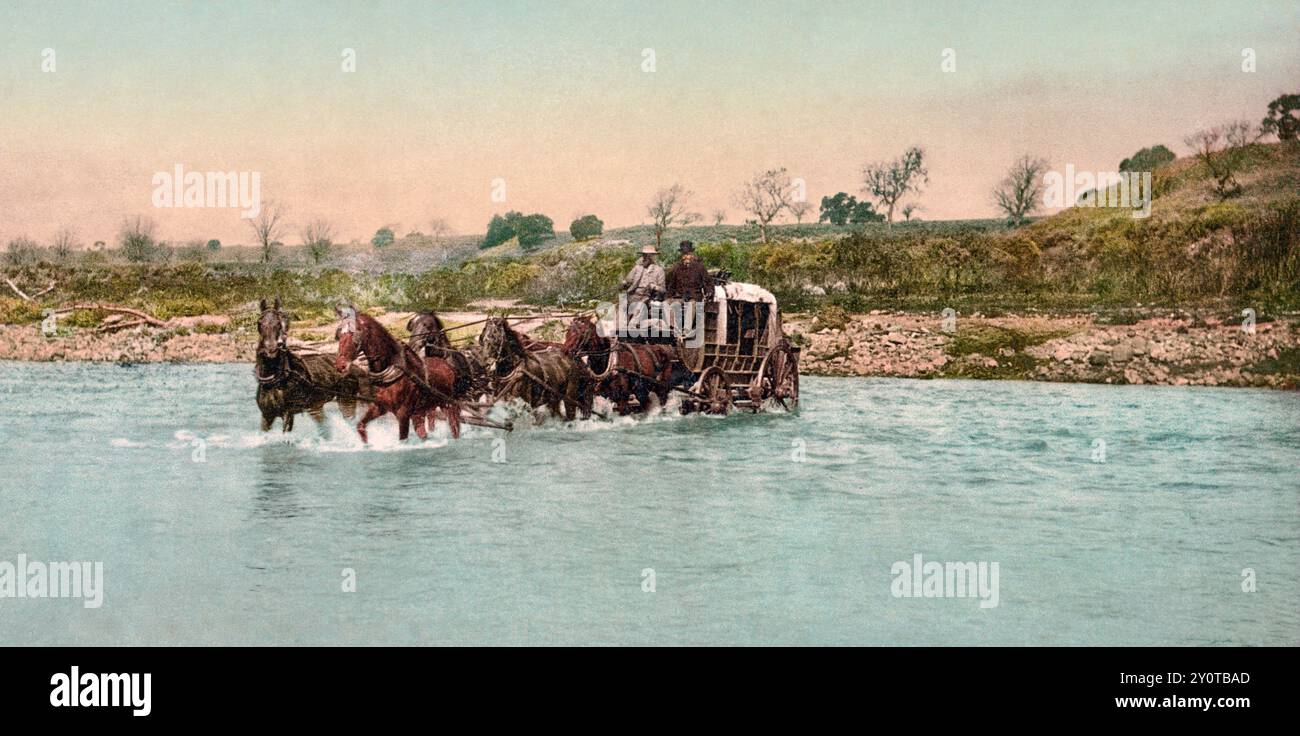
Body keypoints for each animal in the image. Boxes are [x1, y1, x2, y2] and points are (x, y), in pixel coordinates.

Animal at [253, 297, 361, 429]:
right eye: (259, 323)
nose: (271, 349)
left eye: (278, 323)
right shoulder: (266, 416)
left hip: (347, 401)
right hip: (317, 405)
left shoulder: (287, 415)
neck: (276, 379)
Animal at [335, 306, 462, 444]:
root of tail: (445, 364)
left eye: (354, 333)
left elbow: (402, 438)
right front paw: (365, 443)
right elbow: (360, 426)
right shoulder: (379, 407)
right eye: (339, 334)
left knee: (454, 426)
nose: (340, 365)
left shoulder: (403, 415)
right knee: (423, 430)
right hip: (424, 410)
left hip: (448, 405)